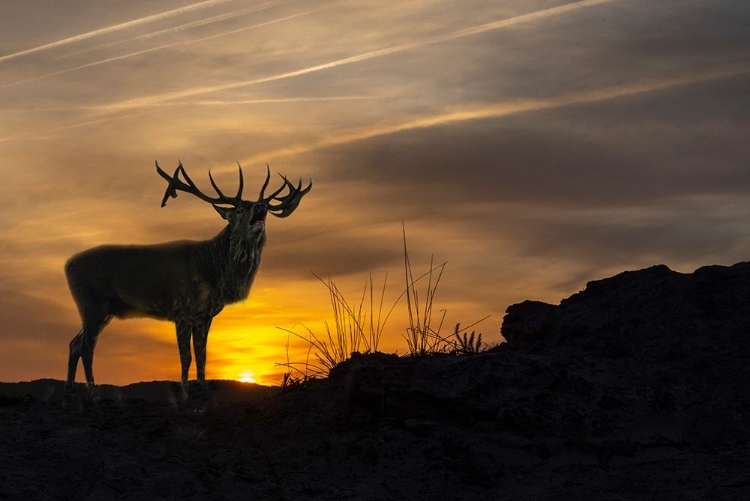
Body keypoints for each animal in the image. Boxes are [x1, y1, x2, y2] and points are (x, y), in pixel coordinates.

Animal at [64, 160, 312, 398]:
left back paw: (71, 389)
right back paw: (93, 392)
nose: (262, 206)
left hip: (102, 310)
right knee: (86, 347)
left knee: (74, 343)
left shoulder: (205, 316)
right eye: (240, 209)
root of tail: (66, 266)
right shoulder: (182, 310)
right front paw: (184, 392)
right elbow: (186, 357)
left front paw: (202, 388)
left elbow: (202, 354)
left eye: (263, 207)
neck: (213, 272)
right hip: (91, 303)